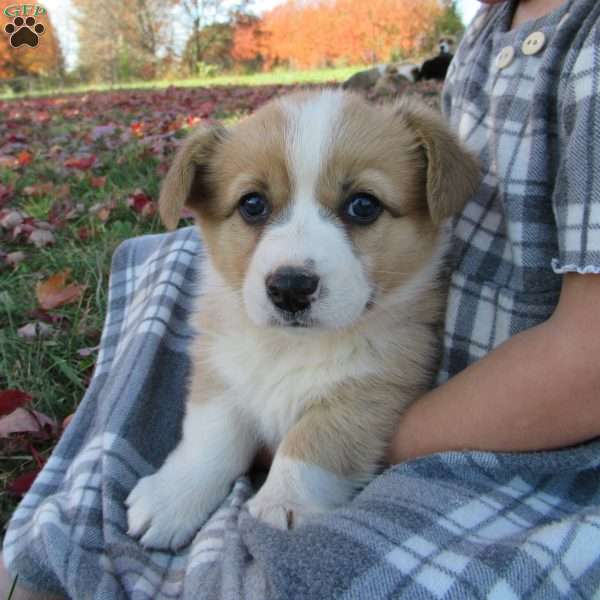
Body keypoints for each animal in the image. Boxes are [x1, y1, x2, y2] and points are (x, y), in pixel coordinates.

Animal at [125, 86, 478, 552]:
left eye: (363, 205)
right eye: (252, 204)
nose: (290, 288)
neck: (290, 348)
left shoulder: (375, 386)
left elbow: (312, 442)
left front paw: (283, 504)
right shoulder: (221, 373)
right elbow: (210, 437)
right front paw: (173, 497)